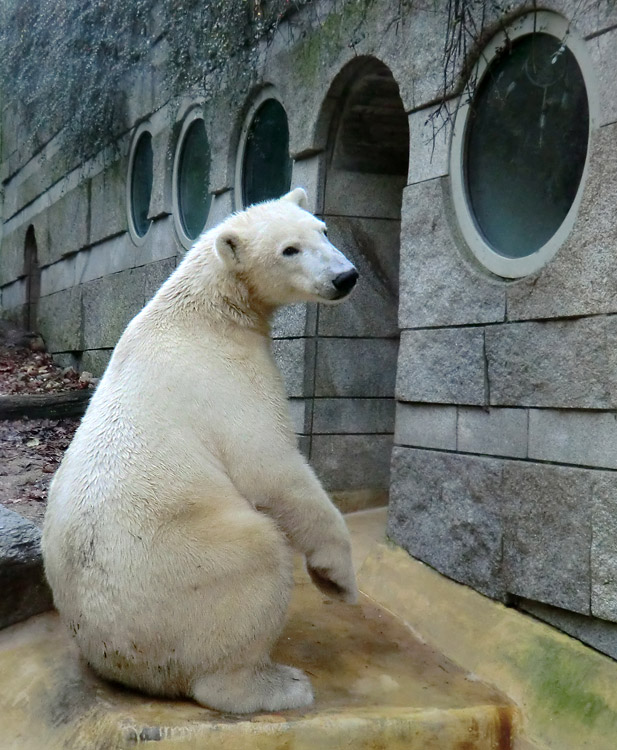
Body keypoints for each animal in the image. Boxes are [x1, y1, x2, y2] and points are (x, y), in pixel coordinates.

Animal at [42, 189, 356, 716]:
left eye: (323, 230)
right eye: (289, 250)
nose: (345, 276)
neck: (206, 312)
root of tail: (114, 656)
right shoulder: (228, 378)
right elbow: (272, 468)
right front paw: (338, 578)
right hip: (187, 567)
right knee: (256, 558)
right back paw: (278, 684)